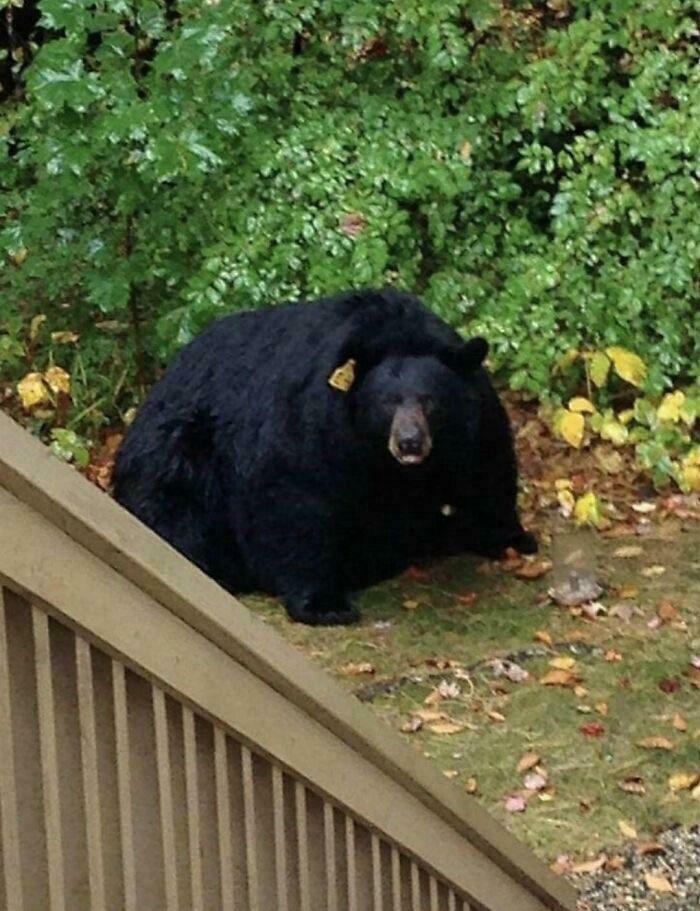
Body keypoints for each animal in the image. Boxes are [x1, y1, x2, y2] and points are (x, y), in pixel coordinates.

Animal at [113, 288, 536, 625]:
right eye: (387, 403)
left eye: (429, 400)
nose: (410, 443)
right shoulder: (312, 424)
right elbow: (294, 499)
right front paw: (324, 604)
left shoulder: (471, 421)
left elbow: (486, 468)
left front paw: (513, 537)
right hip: (181, 447)